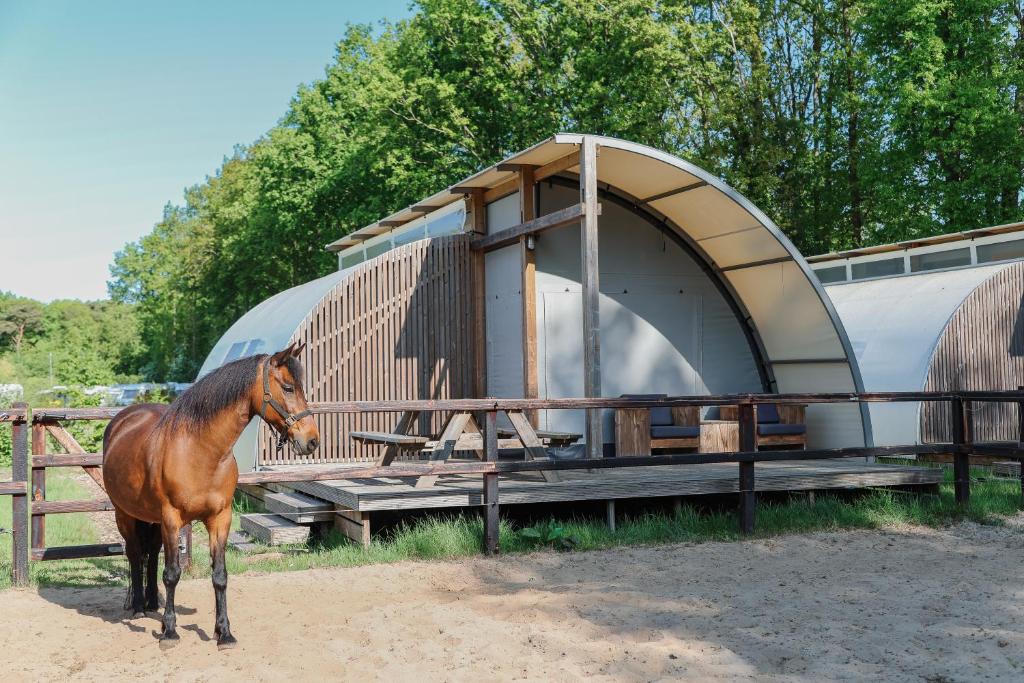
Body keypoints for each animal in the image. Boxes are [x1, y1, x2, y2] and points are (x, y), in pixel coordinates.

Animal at [102, 343, 319, 648]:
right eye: (288, 387)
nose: (312, 440)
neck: (201, 450)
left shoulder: (220, 518)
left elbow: (220, 575)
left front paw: (223, 632)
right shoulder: (172, 519)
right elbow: (172, 574)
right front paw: (170, 632)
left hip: (152, 519)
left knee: (151, 553)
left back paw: (153, 603)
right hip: (125, 514)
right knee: (135, 554)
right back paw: (138, 607)